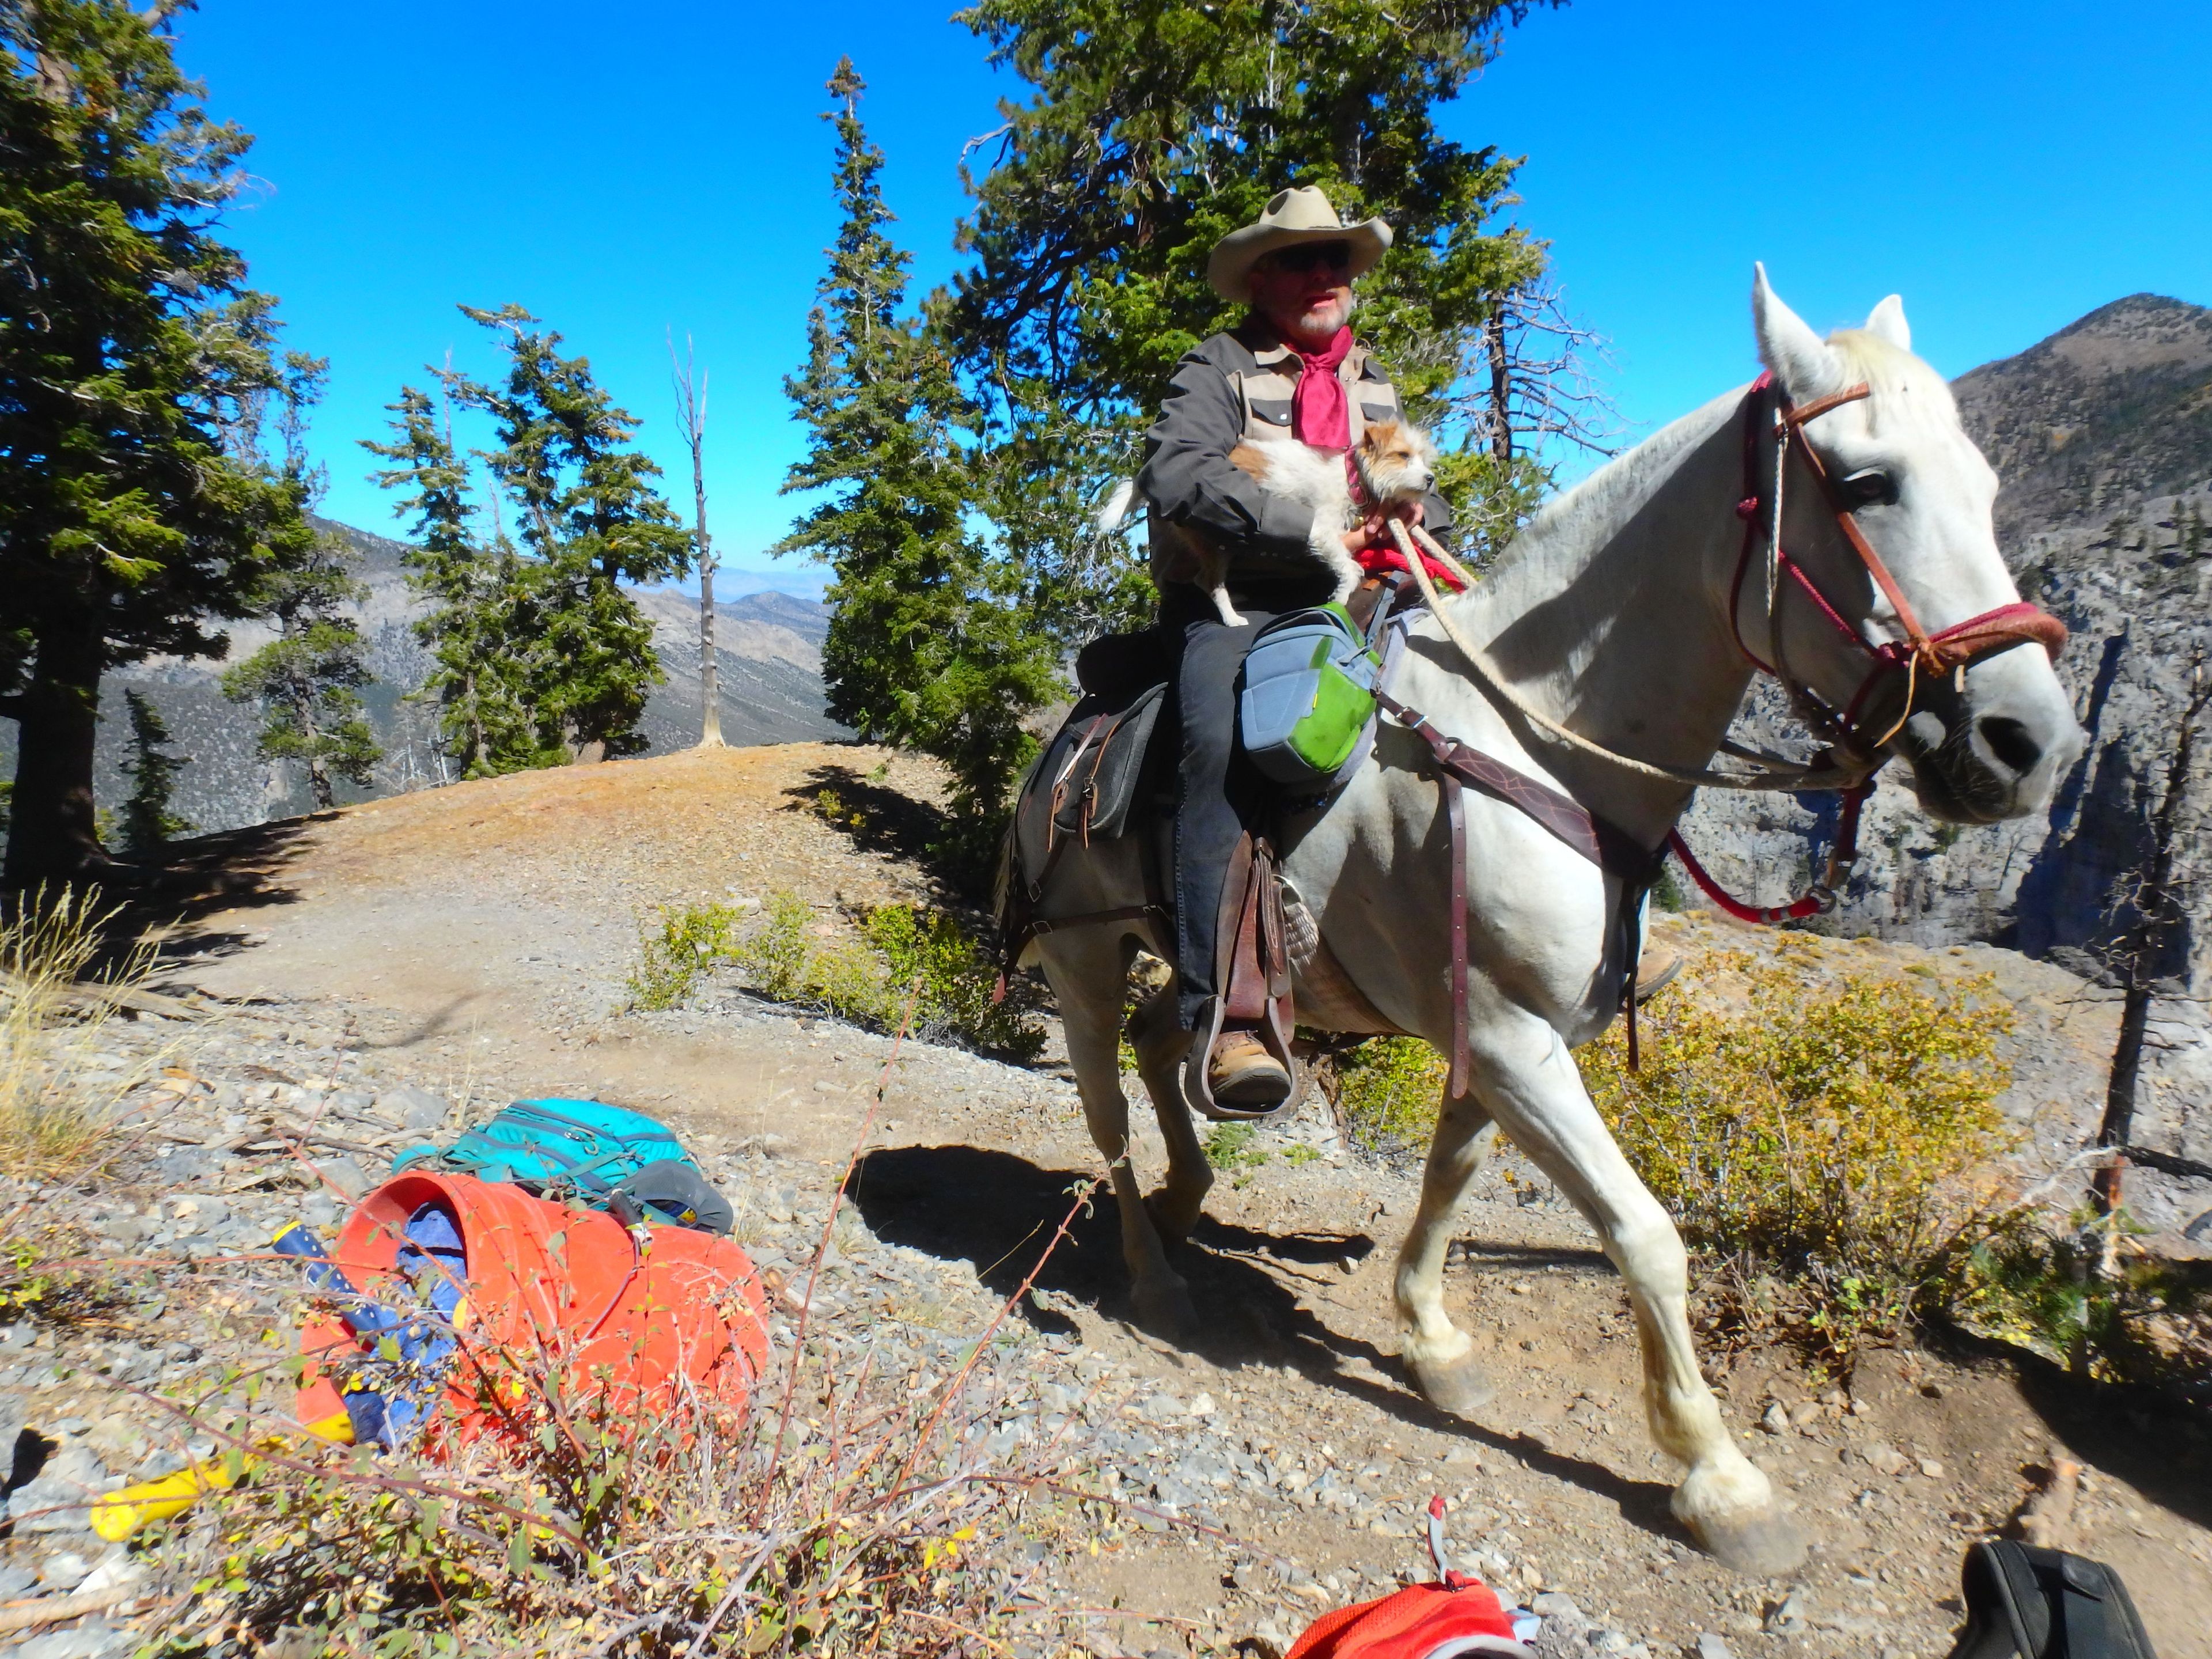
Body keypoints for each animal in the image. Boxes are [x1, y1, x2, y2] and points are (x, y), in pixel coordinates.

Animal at [1115, 418, 1442, 628]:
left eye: (1424, 460)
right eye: (1403, 455)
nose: (1430, 479)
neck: (1352, 478)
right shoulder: (1321, 531)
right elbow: (1350, 567)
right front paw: (1340, 595)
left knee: (1204, 579)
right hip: (1215, 538)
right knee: (1209, 581)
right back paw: (1232, 618)